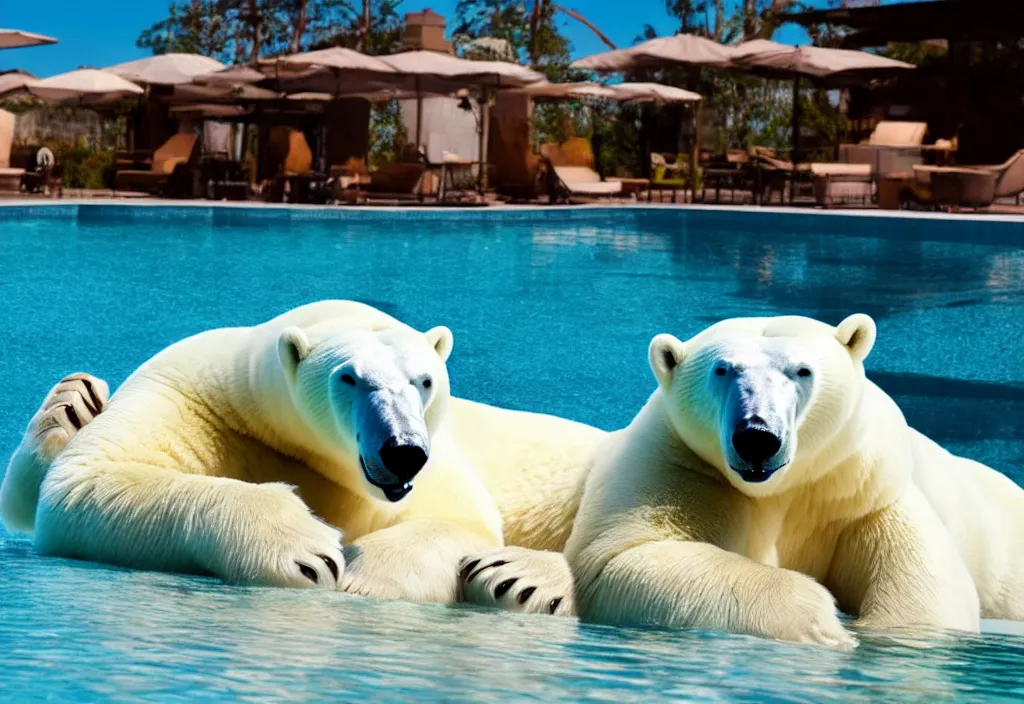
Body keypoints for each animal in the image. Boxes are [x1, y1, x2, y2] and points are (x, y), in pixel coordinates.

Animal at [462, 317, 1024, 646]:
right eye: (722, 370)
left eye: (802, 371)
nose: (757, 437)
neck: (783, 488)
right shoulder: (681, 463)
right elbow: (633, 555)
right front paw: (825, 626)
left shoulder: (864, 488)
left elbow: (926, 596)